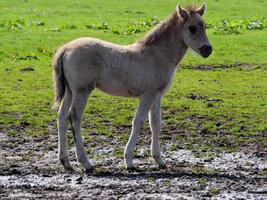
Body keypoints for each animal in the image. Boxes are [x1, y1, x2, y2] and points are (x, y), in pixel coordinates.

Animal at [53, 4, 213, 172]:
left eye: (204, 25)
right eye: (192, 28)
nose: (208, 49)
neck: (157, 54)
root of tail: (66, 48)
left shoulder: (157, 95)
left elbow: (155, 123)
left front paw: (159, 160)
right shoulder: (147, 95)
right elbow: (138, 122)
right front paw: (129, 161)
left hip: (70, 91)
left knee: (61, 117)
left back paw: (66, 162)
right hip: (82, 91)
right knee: (74, 118)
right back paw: (86, 163)